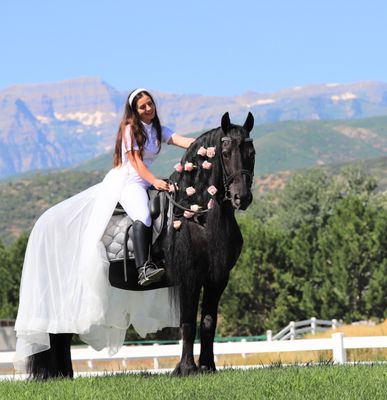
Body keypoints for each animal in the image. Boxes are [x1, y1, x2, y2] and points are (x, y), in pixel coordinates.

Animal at [28, 111, 258, 378]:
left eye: (251, 153)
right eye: (226, 153)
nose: (242, 198)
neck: (194, 213)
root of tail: (43, 222)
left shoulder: (217, 277)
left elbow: (209, 322)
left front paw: (208, 366)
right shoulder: (189, 276)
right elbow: (188, 323)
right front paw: (186, 368)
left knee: (62, 332)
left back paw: (63, 375)